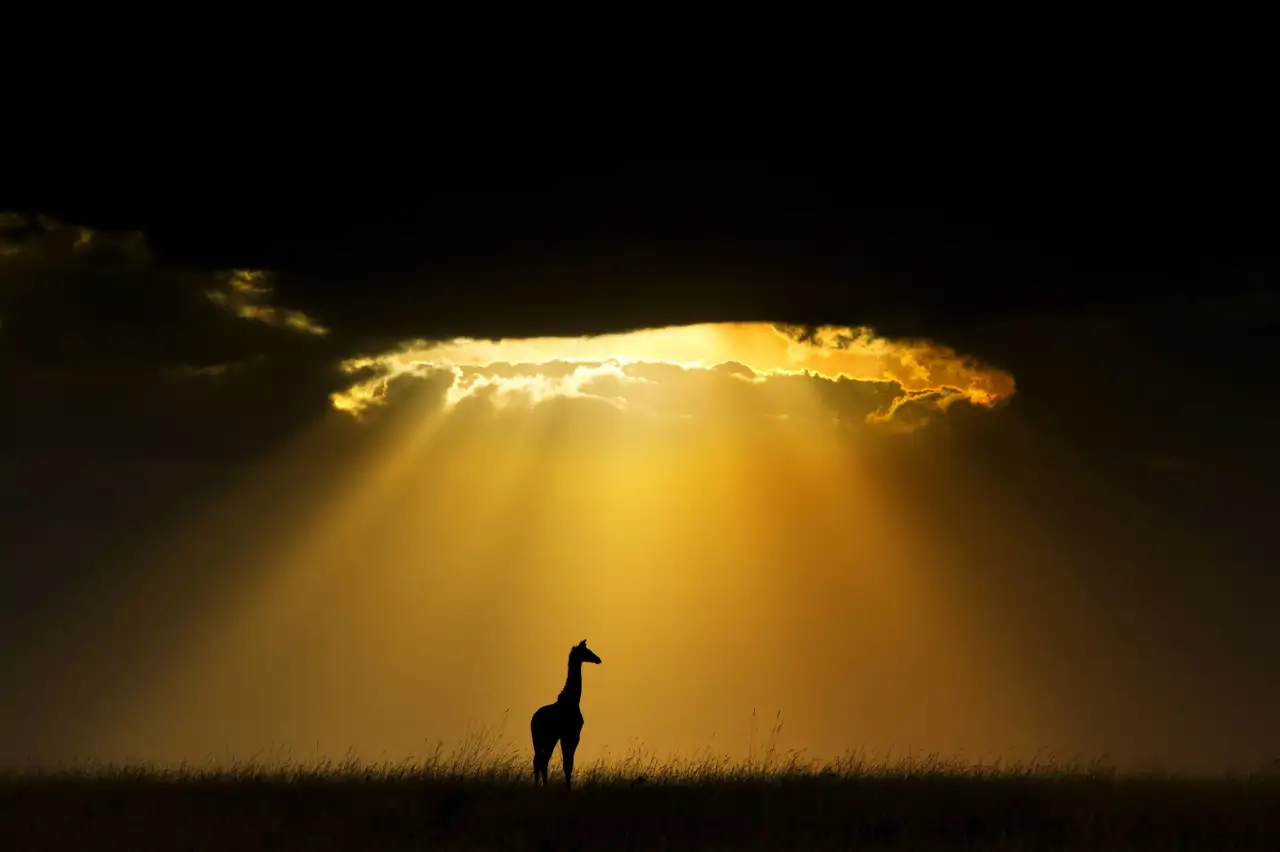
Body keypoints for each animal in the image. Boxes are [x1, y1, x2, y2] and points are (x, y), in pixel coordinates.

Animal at [531, 640, 602, 789]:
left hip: (538, 739)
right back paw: (543, 786)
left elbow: (566, 764)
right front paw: (569, 788)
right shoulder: (573, 735)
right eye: (587, 651)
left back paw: (539, 786)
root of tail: (534, 720)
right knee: (543, 760)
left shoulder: (564, 737)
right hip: (549, 737)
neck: (572, 699)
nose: (598, 659)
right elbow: (568, 765)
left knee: (538, 760)